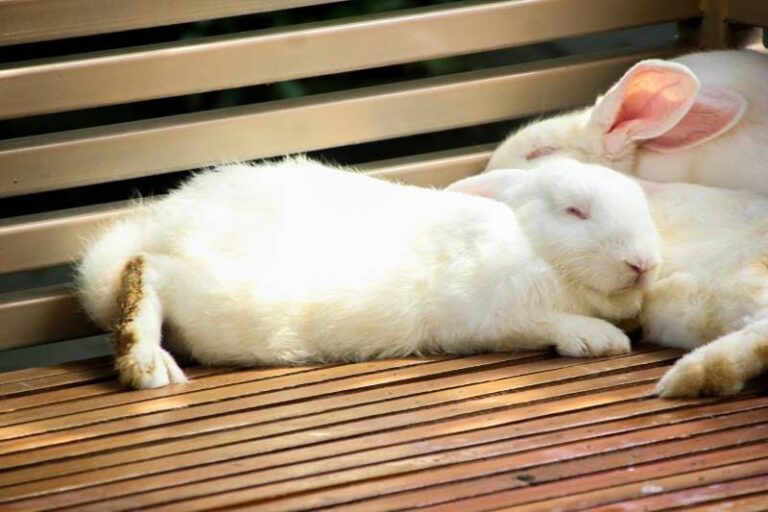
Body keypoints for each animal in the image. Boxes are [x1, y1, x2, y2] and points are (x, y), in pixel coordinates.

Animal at [76, 156, 660, 389]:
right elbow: (548, 323)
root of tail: (166, 224)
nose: (644, 263)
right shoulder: (495, 315)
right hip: (225, 298)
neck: (535, 245)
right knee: (148, 272)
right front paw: (601, 340)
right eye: (575, 212)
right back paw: (147, 362)